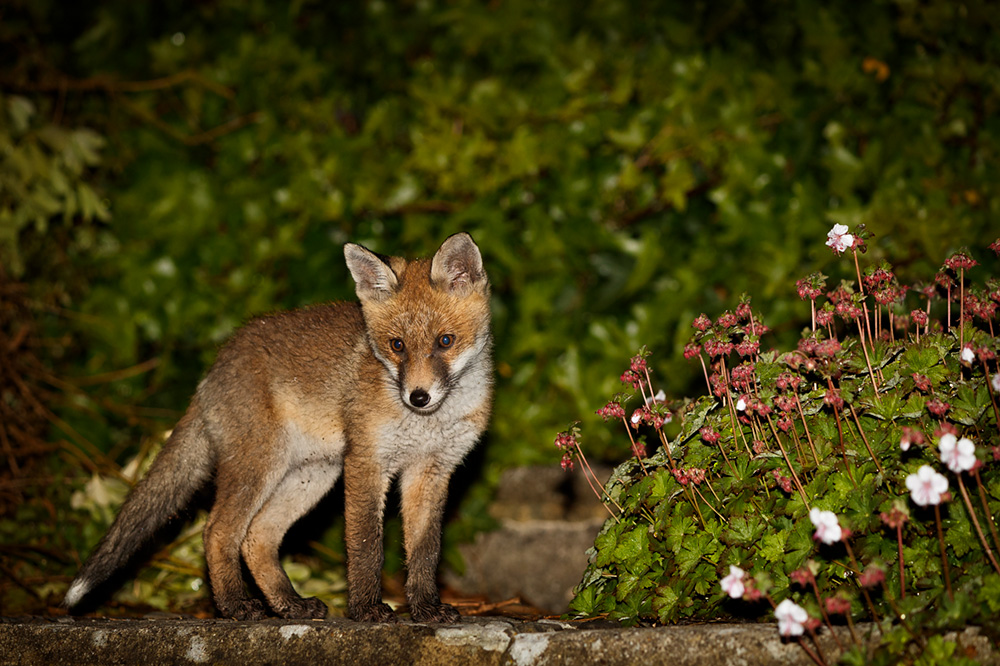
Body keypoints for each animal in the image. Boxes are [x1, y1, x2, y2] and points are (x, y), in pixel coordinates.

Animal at [63, 232, 493, 623]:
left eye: (445, 341)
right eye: (397, 345)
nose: (418, 397)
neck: (430, 423)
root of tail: (218, 362)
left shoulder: (431, 470)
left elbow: (424, 550)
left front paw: (425, 608)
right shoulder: (367, 462)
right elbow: (366, 546)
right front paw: (366, 609)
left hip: (311, 475)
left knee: (257, 537)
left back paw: (289, 605)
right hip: (261, 466)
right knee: (217, 532)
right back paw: (235, 606)